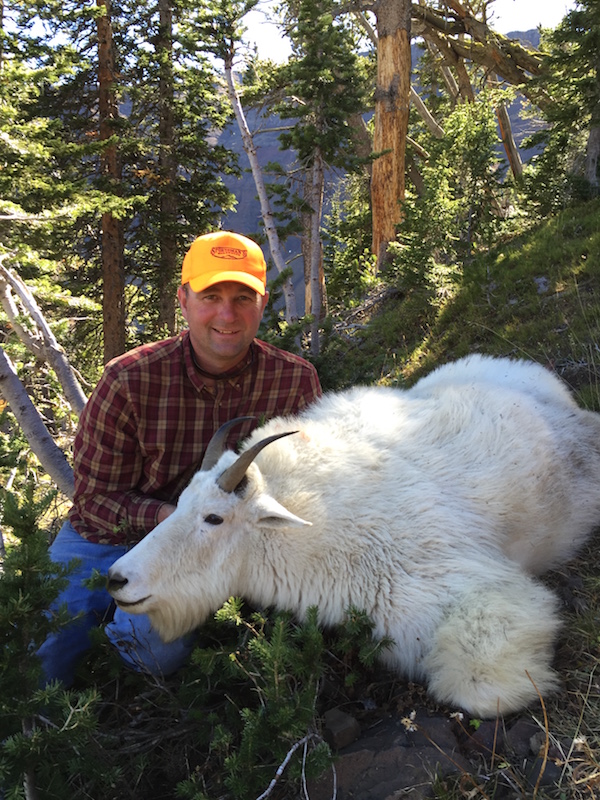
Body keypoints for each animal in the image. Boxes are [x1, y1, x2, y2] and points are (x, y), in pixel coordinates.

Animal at [107, 355, 600, 717]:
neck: (315, 525)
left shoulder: (465, 587)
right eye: (179, 501)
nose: (117, 579)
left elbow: (481, 686)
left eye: (214, 518)